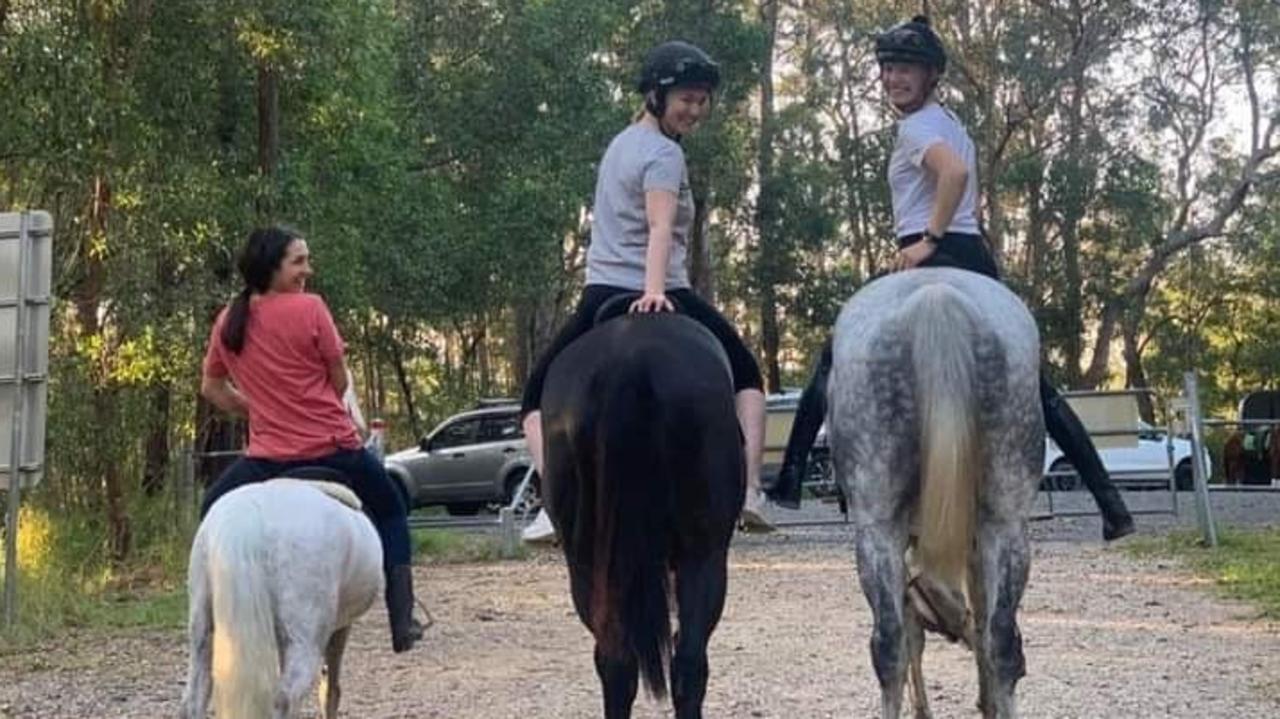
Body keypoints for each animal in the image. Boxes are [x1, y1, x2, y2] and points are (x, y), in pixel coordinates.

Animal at [177, 475, 381, 716]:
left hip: (203, 630)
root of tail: (245, 517)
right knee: (285, 698)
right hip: (305, 639)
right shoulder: (340, 627)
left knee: (192, 700)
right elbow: (331, 690)